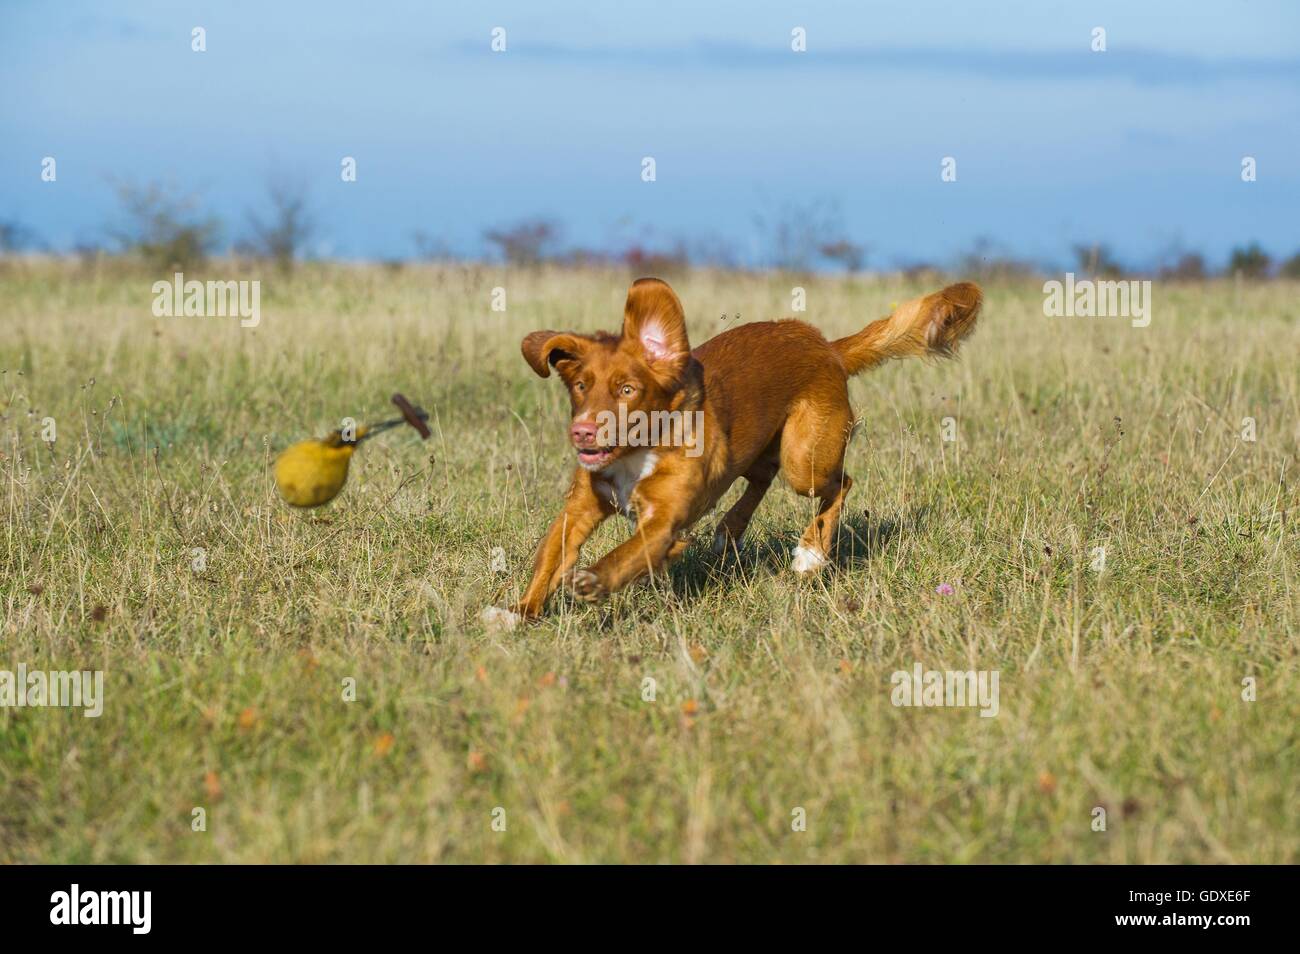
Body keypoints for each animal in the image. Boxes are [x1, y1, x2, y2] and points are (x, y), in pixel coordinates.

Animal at [483, 280, 977, 631]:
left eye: (627, 390)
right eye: (580, 386)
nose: (583, 431)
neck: (638, 452)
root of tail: (827, 347)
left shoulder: (664, 523)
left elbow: (626, 554)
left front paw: (595, 579)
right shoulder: (581, 508)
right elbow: (551, 556)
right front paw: (519, 613)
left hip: (806, 459)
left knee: (839, 482)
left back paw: (811, 553)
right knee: (760, 476)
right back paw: (730, 531)